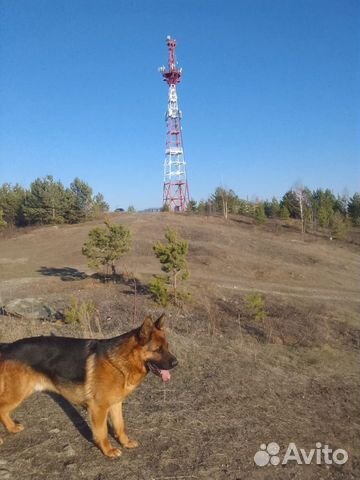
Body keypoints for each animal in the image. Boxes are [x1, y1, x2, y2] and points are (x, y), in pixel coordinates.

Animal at [0, 316, 177, 458]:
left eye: (168, 347)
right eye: (157, 350)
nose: (176, 363)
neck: (121, 361)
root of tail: (7, 347)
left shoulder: (115, 404)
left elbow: (120, 426)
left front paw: (125, 443)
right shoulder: (98, 408)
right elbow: (102, 433)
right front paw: (108, 451)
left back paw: (12, 427)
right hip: (17, 393)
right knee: (2, 408)